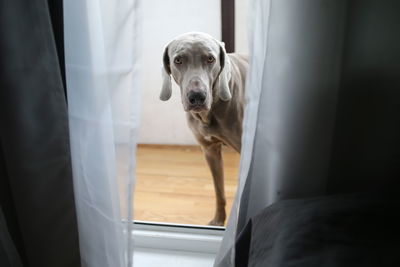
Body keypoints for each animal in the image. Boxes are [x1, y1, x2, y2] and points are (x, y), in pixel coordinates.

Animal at [159, 32, 247, 227]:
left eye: (210, 59)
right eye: (178, 60)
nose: (197, 96)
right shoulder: (210, 150)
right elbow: (219, 190)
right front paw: (218, 221)